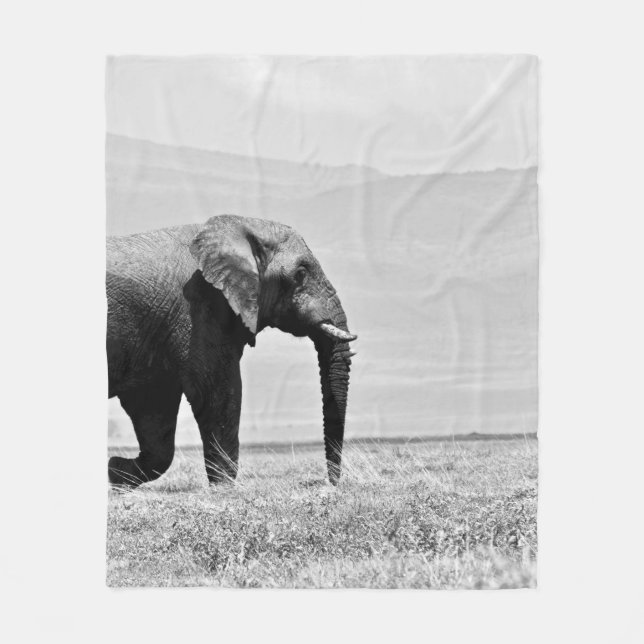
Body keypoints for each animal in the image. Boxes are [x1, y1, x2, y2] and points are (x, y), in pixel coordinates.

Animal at [107, 214, 357, 488]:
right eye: (300, 273)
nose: (333, 484)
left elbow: (153, 409)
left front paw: (115, 471)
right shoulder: (198, 310)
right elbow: (216, 390)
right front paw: (225, 488)